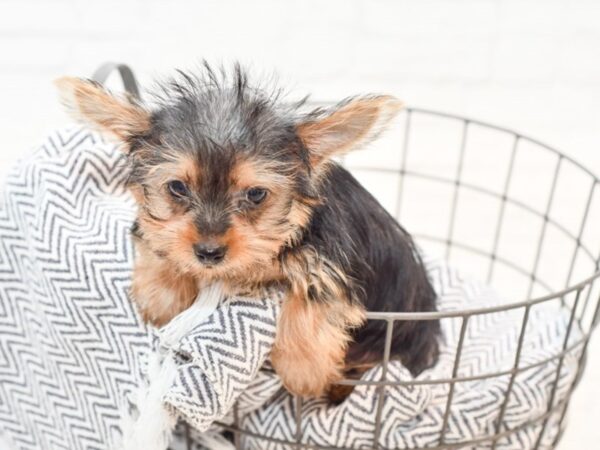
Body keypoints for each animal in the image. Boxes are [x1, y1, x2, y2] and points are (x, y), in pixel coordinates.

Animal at [57, 63, 440, 400]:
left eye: (255, 194)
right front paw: (162, 293)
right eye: (177, 187)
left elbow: (312, 291)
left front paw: (303, 370)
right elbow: (158, 239)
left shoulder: (331, 258)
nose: (208, 252)